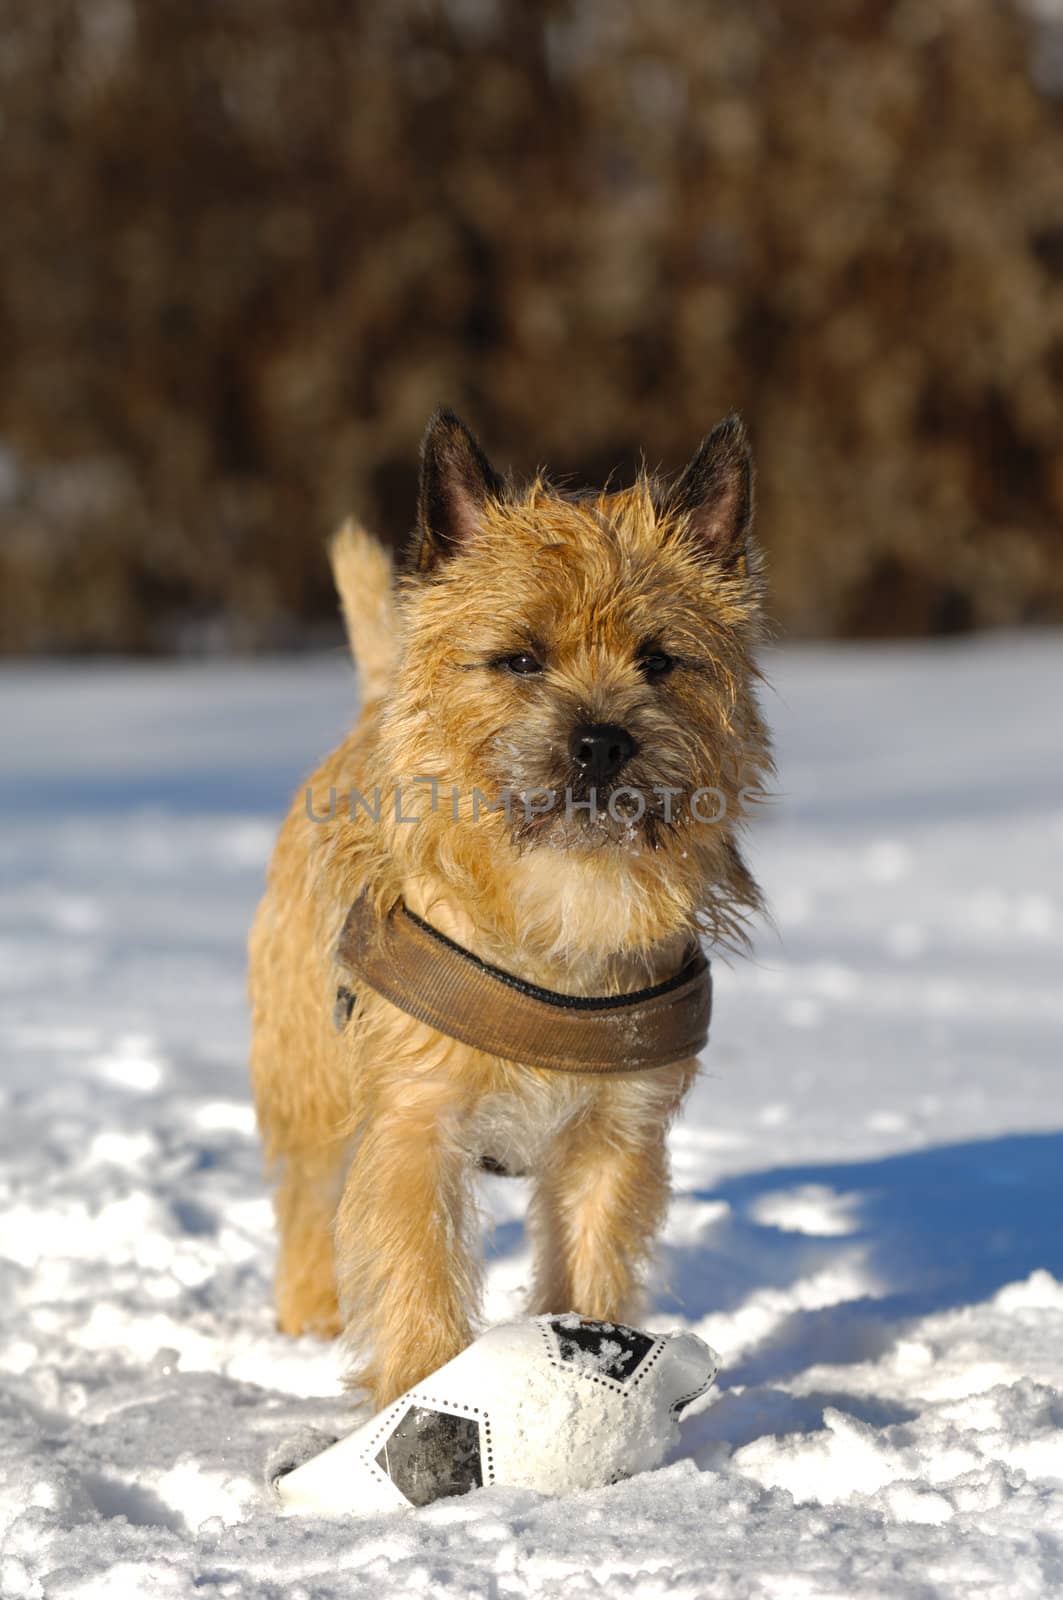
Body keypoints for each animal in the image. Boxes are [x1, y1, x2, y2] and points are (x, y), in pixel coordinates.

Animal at [249, 406, 771, 1408]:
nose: (601, 740)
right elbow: (415, 1277)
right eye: (520, 659)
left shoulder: (613, 1138)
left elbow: (588, 1268)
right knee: (305, 1191)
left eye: (659, 661)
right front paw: (418, 1393)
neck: (568, 891)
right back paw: (307, 1315)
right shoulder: (415, 1127)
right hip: (306, 1063)